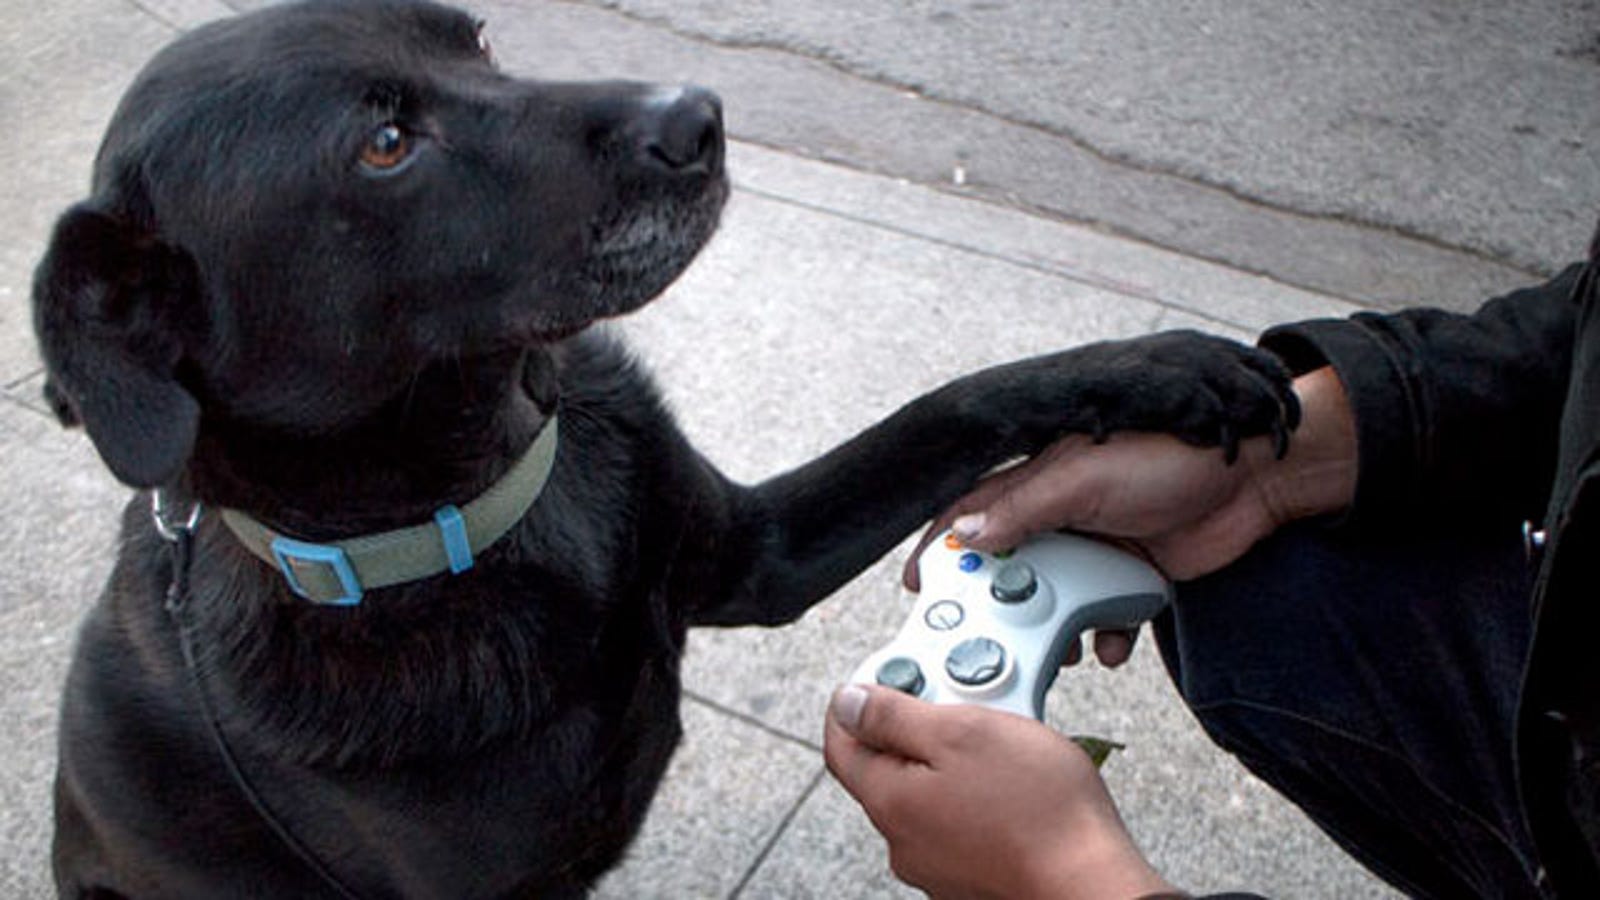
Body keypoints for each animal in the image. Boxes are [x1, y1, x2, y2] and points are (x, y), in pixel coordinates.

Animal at [34, 3, 1299, 890]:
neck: (489, 495)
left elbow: (950, 406)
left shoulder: (756, 551)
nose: (699, 115)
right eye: (385, 142)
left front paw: (1159, 368)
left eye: (478, 36)